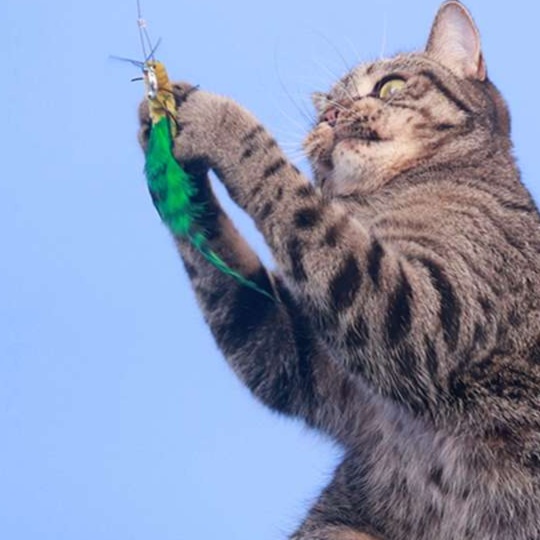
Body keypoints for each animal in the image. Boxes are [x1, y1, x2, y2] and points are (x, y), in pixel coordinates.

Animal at [139, 1, 540, 540]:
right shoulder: (303, 363)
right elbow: (233, 283)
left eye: (390, 86)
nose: (329, 116)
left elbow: (290, 194)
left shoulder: (420, 311)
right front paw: (163, 142)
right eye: (322, 108)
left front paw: (219, 118)